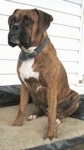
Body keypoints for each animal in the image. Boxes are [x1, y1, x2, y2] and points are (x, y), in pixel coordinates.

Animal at [7, 8, 79, 139]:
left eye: (27, 20)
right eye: (12, 20)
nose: (14, 27)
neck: (30, 53)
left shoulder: (51, 88)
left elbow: (51, 115)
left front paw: (50, 134)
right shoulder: (24, 86)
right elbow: (21, 107)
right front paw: (17, 123)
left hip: (75, 97)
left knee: (60, 113)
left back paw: (58, 119)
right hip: (34, 95)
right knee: (39, 108)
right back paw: (34, 114)